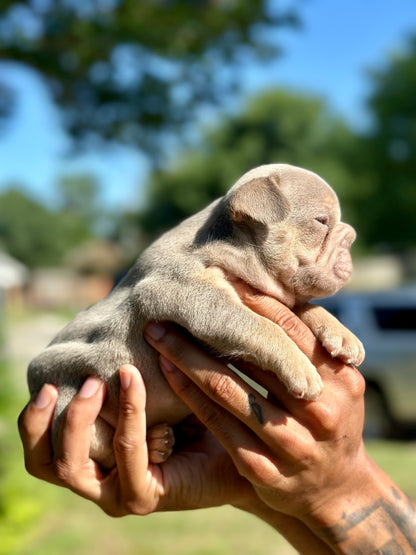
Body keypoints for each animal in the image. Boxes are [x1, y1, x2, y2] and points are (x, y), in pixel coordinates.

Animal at [26, 164, 364, 470]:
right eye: (321, 222)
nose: (352, 237)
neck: (232, 246)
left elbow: (305, 308)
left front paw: (343, 335)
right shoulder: (192, 293)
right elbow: (261, 326)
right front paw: (300, 368)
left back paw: (161, 442)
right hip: (71, 406)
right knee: (107, 453)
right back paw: (152, 446)